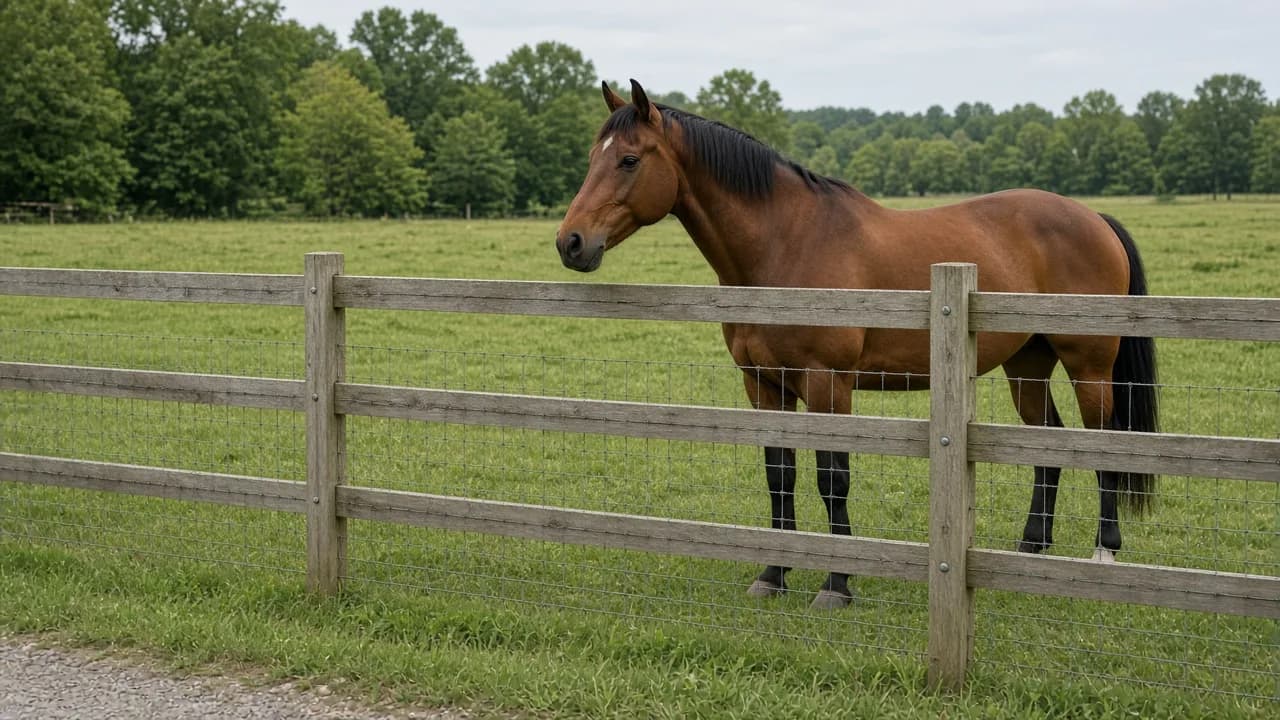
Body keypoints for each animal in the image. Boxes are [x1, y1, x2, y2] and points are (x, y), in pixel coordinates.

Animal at [555, 80, 1159, 609]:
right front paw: (773, 574)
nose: (571, 242)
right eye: (591, 157)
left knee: (1104, 442)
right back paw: (1031, 549)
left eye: (629, 160)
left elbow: (832, 478)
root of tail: (1093, 217)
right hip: (1027, 363)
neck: (786, 244)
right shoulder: (764, 385)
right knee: (1048, 444)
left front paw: (837, 583)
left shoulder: (829, 384)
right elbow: (779, 475)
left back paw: (1104, 554)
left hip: (1087, 365)